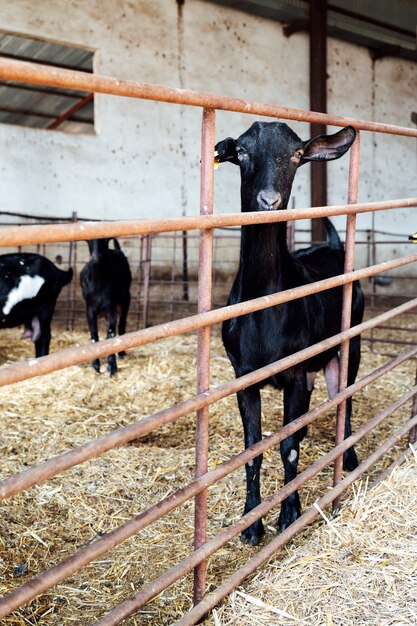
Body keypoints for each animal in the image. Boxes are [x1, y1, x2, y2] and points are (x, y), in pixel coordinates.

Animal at [78, 238, 129, 376]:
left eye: (105, 240)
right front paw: (96, 365)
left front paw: (112, 367)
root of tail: (116, 250)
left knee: (122, 325)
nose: (96, 257)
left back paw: (121, 353)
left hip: (125, 299)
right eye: (89, 241)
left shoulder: (111, 309)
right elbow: (94, 334)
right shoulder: (89, 310)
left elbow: (111, 334)